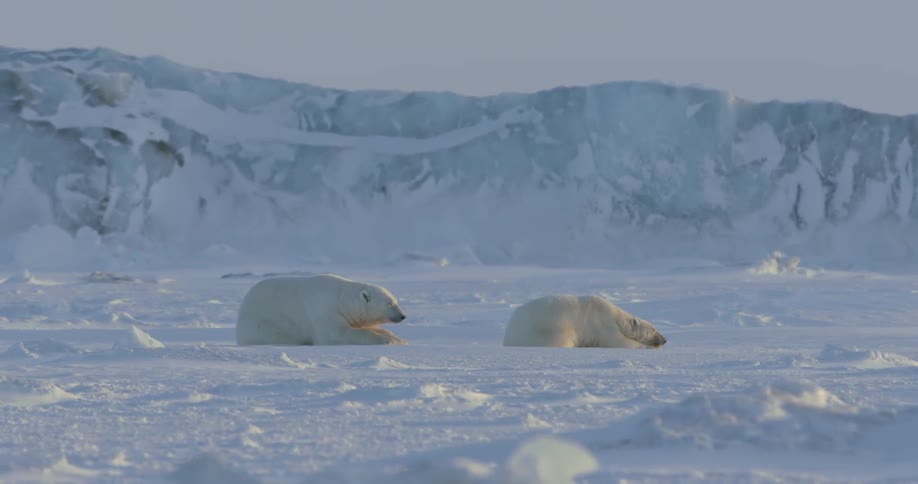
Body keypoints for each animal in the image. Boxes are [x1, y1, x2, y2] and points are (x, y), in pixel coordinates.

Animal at [235, 274, 407, 346]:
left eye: (395, 301)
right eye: (389, 303)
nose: (402, 316)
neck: (341, 299)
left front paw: (397, 338)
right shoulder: (324, 309)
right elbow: (336, 335)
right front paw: (390, 340)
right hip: (263, 325)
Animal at [502, 294, 667, 349]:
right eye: (653, 329)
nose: (664, 340)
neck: (616, 316)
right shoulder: (602, 322)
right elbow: (617, 341)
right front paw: (650, 348)